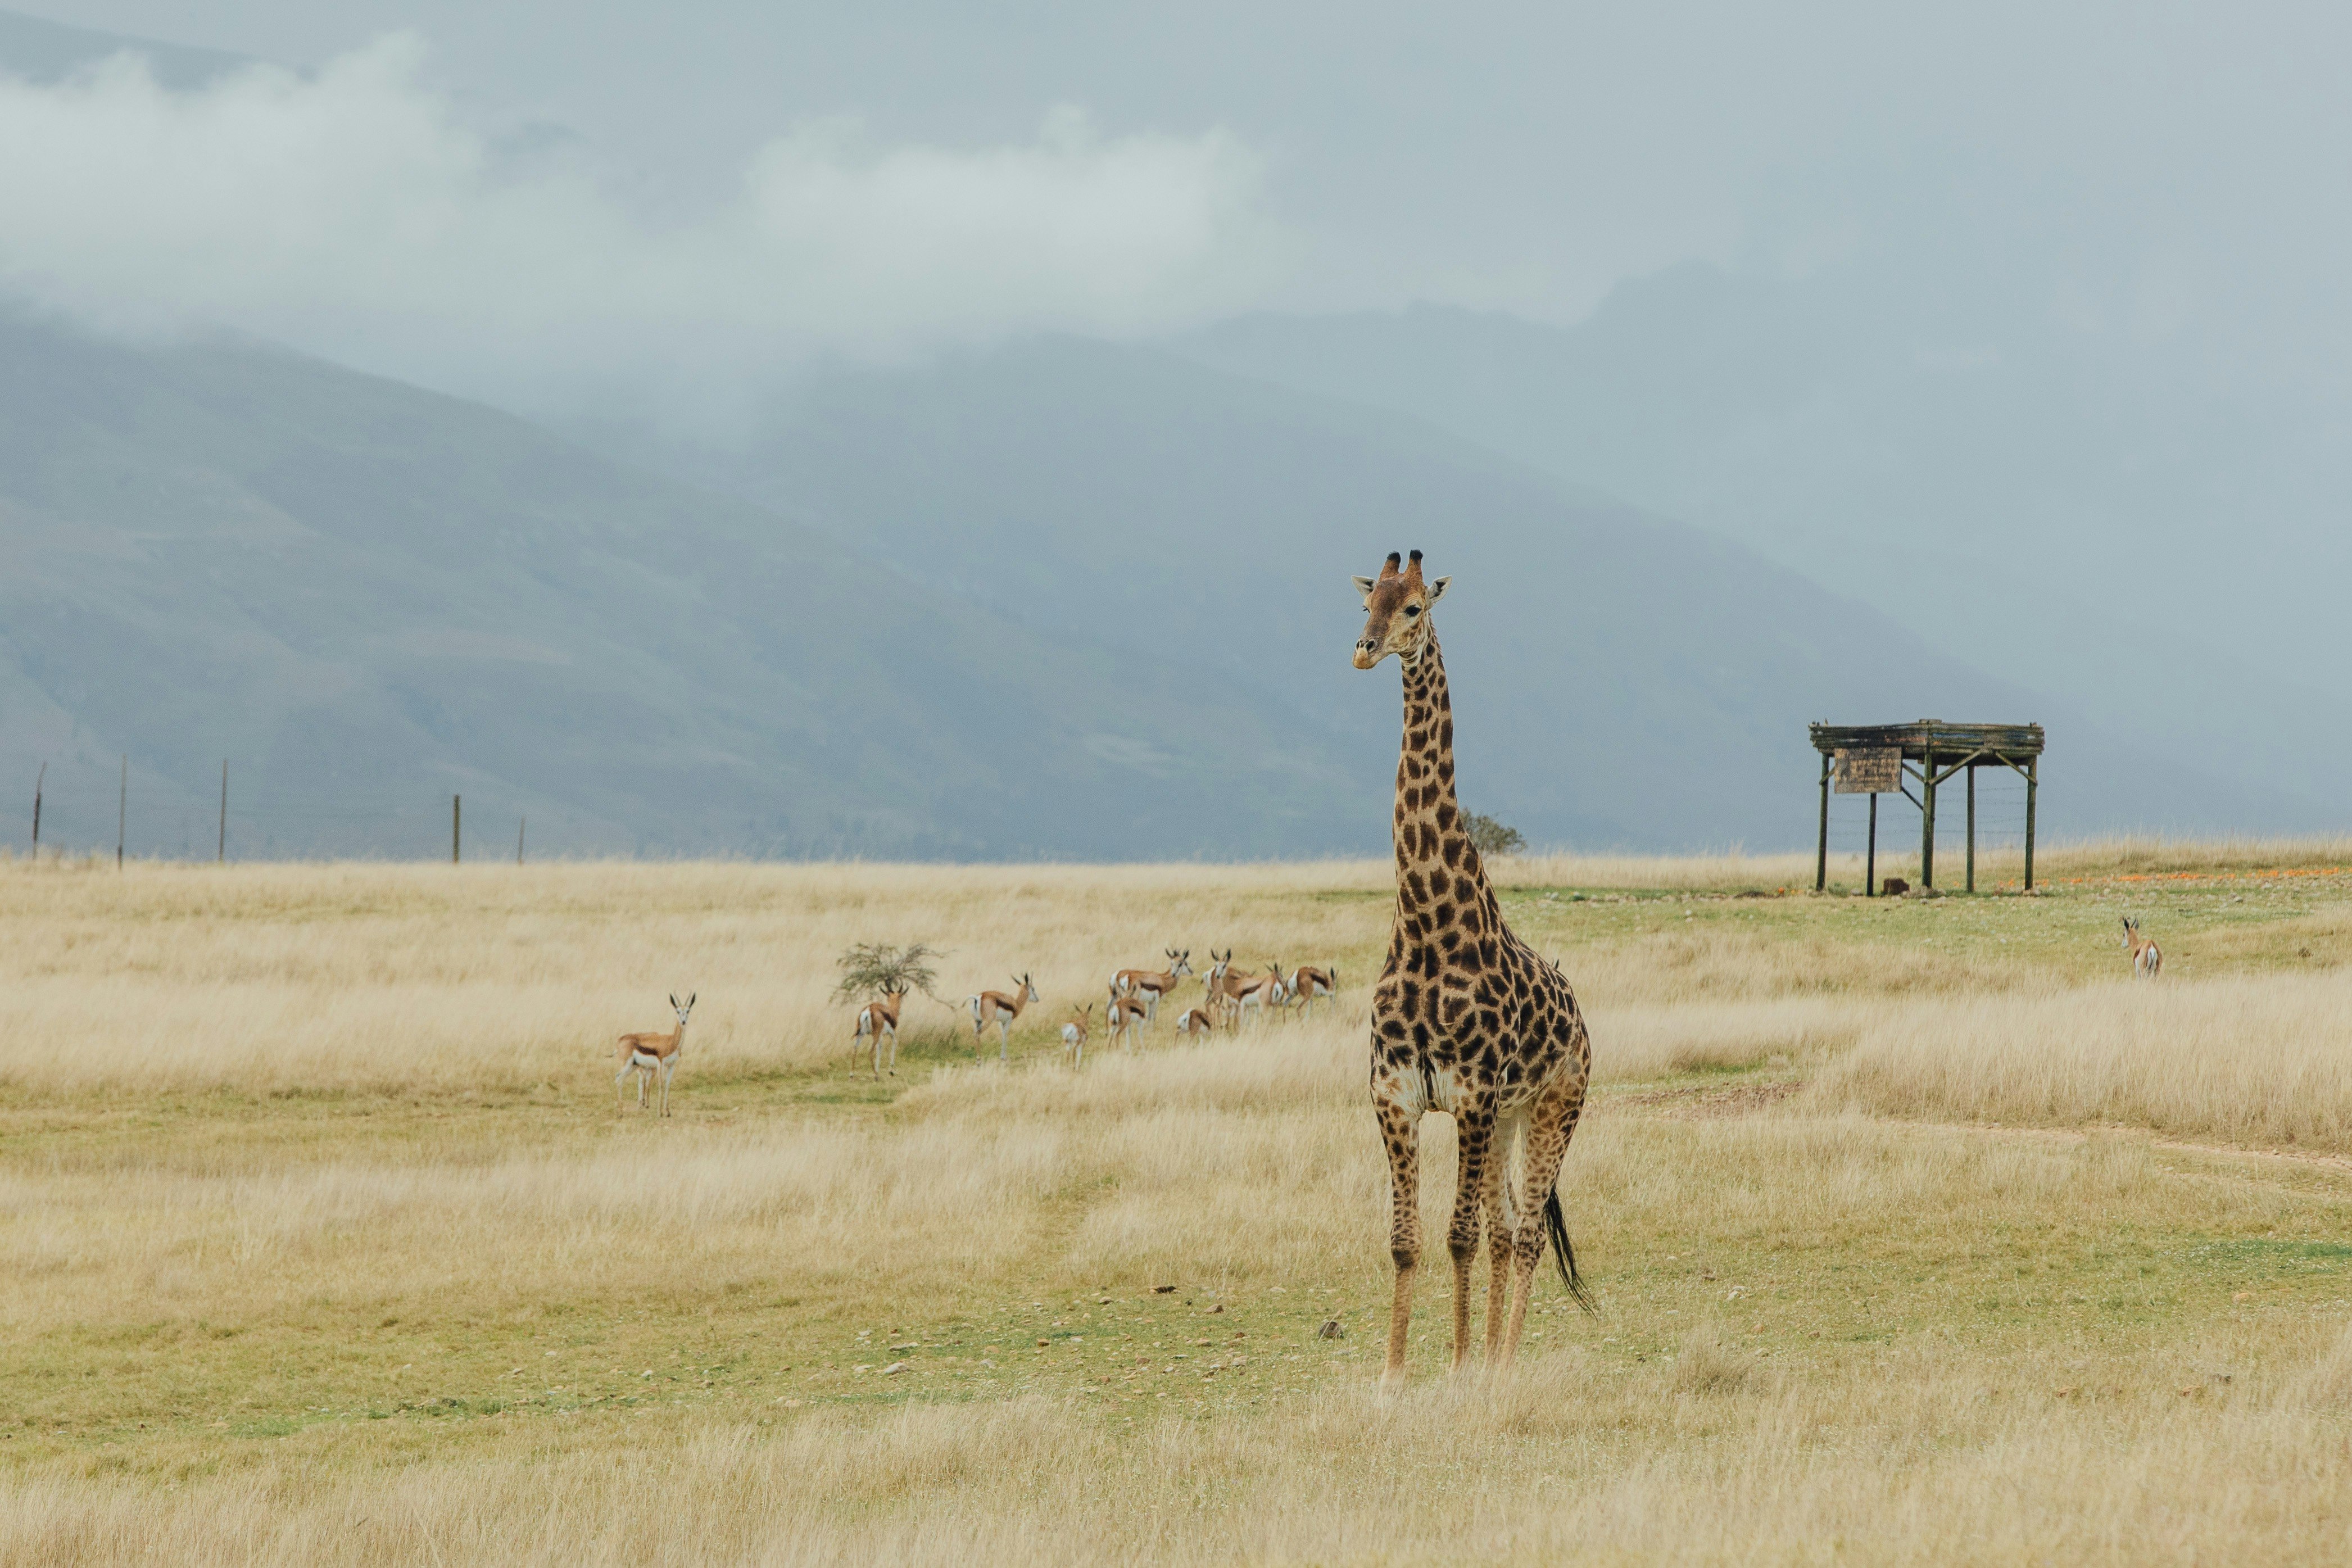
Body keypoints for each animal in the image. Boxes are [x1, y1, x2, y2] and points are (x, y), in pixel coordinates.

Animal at [615, 992, 694, 1116]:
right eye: (677, 1011)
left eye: (688, 1010)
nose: (683, 1022)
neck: (671, 1041)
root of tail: (620, 1040)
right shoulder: (660, 1064)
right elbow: (661, 1085)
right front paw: (659, 1113)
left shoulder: (672, 1066)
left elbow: (668, 1085)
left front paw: (668, 1112)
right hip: (628, 1065)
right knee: (619, 1080)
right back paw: (620, 1114)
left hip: (633, 1067)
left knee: (619, 1078)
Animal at [851, 984, 908, 1079]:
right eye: (901, 998)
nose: (901, 1012)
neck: (891, 1013)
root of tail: (868, 1010)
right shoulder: (891, 1033)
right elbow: (893, 1044)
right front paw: (891, 1071)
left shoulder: (881, 1036)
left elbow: (880, 1049)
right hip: (875, 1036)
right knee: (870, 1051)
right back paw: (876, 1076)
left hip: (861, 1034)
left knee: (855, 1049)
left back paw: (851, 1075)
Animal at [967, 973, 1041, 1059]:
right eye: (1033, 989)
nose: (1037, 999)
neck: (1016, 1003)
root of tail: (979, 997)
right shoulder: (1009, 1020)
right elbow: (1006, 1034)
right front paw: (1004, 1057)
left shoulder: (1001, 1021)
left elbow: (1003, 1035)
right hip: (987, 1021)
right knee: (977, 1034)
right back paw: (979, 1059)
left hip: (977, 1021)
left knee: (976, 1034)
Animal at [1109, 948, 1195, 1026]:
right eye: (1184, 963)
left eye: (1180, 963)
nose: (1191, 971)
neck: (1162, 979)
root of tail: (1121, 976)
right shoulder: (1157, 999)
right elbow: (1154, 1016)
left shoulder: (1150, 1001)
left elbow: (1149, 1016)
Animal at [1351, 549, 1594, 1387]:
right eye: (1367, 598)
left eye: (1415, 608)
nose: (1364, 650)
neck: (1426, 925)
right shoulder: (1396, 1094)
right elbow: (1405, 1240)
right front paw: (1394, 1376)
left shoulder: (1470, 1096)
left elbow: (1454, 1235)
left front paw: (1455, 1365)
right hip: (1512, 1117)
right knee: (1507, 1224)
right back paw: (1493, 1358)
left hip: (1554, 1106)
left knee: (1525, 1232)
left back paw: (1501, 1362)